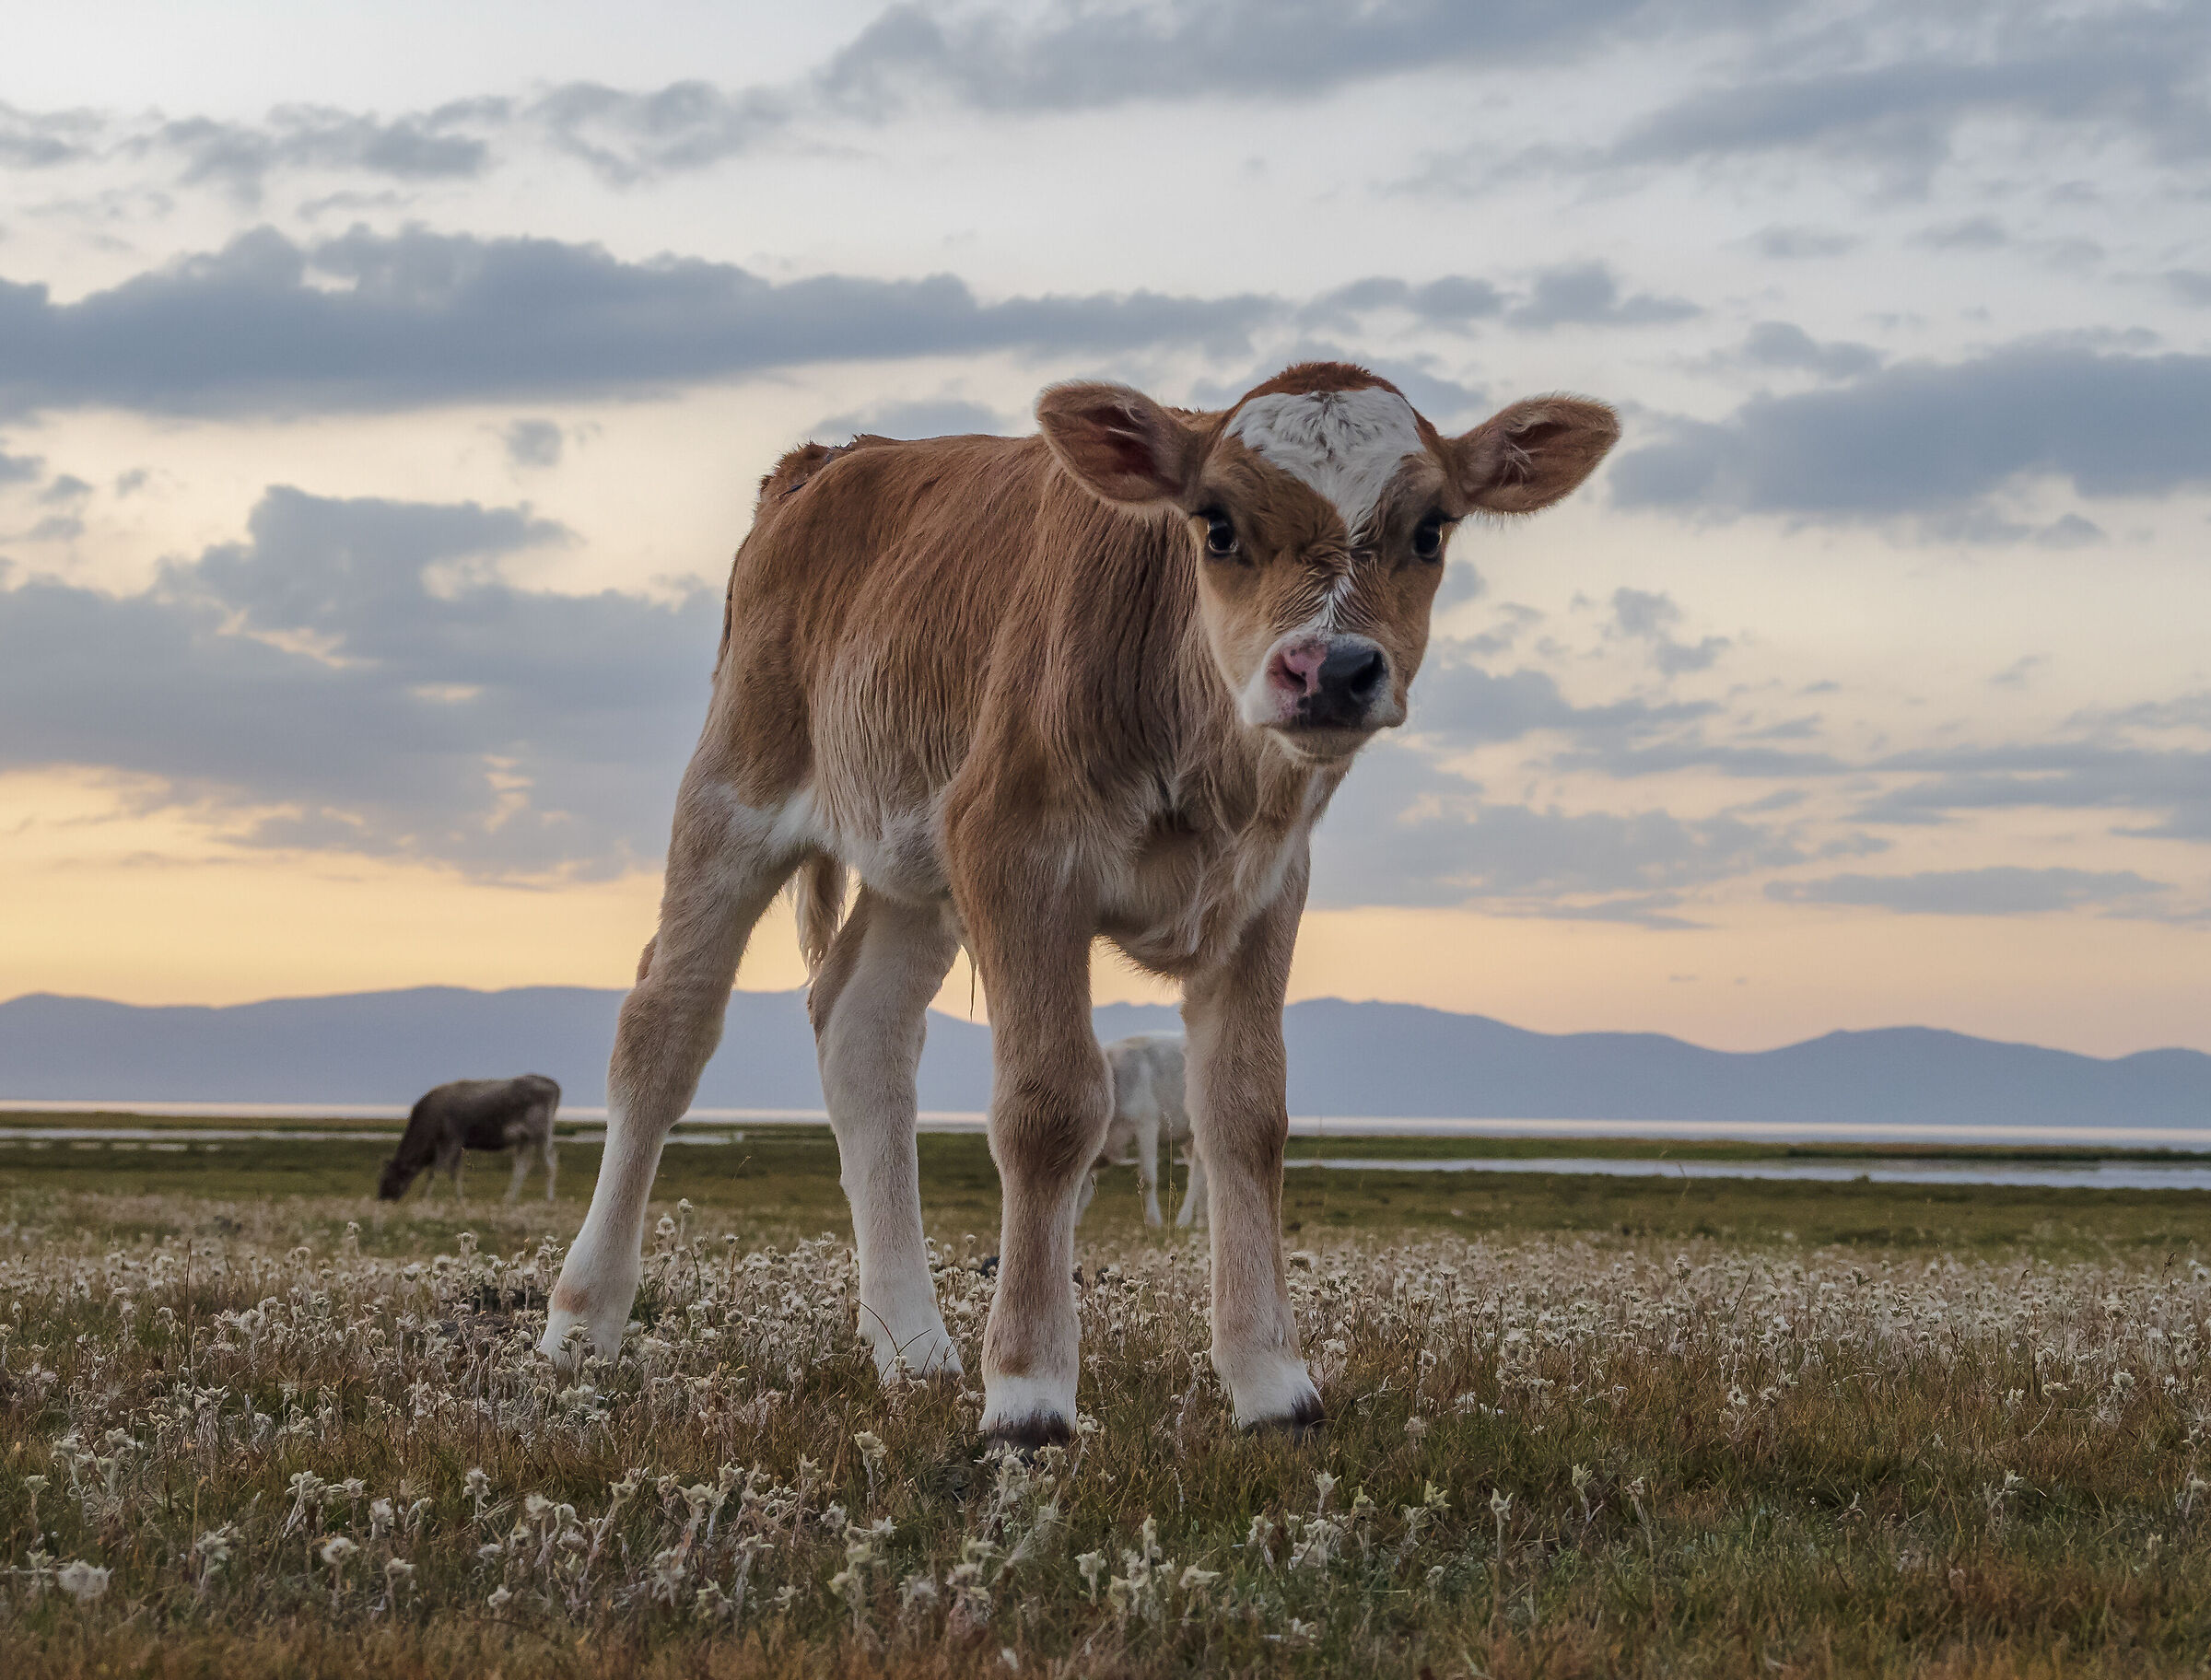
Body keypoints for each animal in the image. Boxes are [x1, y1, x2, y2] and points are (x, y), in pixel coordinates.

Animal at [378, 1075, 561, 1203]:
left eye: (389, 1179)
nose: (381, 1198)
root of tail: (550, 1082)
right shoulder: (459, 1145)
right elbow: (456, 1173)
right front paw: (460, 1199)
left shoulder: (450, 1141)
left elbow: (435, 1172)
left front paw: (426, 1199)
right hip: (524, 1139)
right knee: (521, 1167)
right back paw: (509, 1199)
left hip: (542, 1133)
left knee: (550, 1162)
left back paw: (549, 1199)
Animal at [1076, 1033, 1205, 1229]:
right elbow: (1088, 1186)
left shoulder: (1146, 1122)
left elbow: (1148, 1176)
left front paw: (1153, 1221)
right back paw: (1201, 1221)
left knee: (1196, 1175)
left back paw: (1183, 1220)